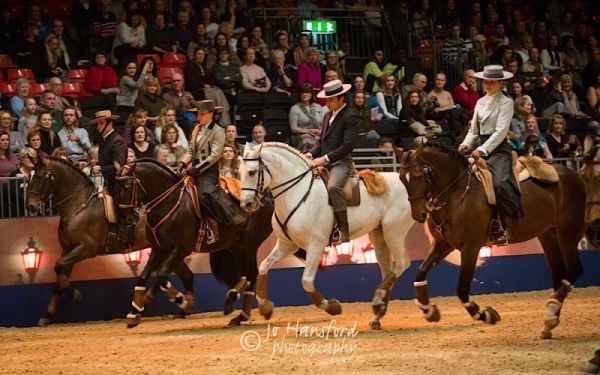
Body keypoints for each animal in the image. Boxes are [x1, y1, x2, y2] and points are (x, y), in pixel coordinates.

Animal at [116, 160, 276, 328]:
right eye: (115, 187)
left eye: (127, 185)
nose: (127, 220)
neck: (170, 203)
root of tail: (267, 196)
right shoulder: (159, 249)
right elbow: (144, 276)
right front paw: (134, 312)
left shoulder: (181, 249)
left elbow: (161, 275)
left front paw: (183, 302)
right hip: (236, 246)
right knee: (247, 275)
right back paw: (237, 309)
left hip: (249, 244)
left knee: (252, 274)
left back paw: (247, 308)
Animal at [237, 142, 414, 330]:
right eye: (239, 171)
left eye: (252, 172)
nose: (246, 204)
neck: (298, 193)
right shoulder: (287, 244)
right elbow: (264, 267)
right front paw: (265, 307)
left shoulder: (316, 244)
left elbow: (306, 281)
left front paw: (332, 307)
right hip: (379, 235)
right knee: (387, 271)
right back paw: (377, 313)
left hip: (393, 231)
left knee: (402, 264)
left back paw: (378, 304)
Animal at [394, 142, 584, 340]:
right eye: (401, 178)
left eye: (418, 176)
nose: (418, 215)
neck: (456, 192)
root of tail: (571, 172)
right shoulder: (443, 244)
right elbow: (420, 272)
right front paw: (428, 309)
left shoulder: (471, 247)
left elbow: (462, 288)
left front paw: (486, 315)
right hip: (548, 234)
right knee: (560, 275)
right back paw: (549, 322)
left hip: (568, 231)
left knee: (574, 270)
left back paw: (551, 313)